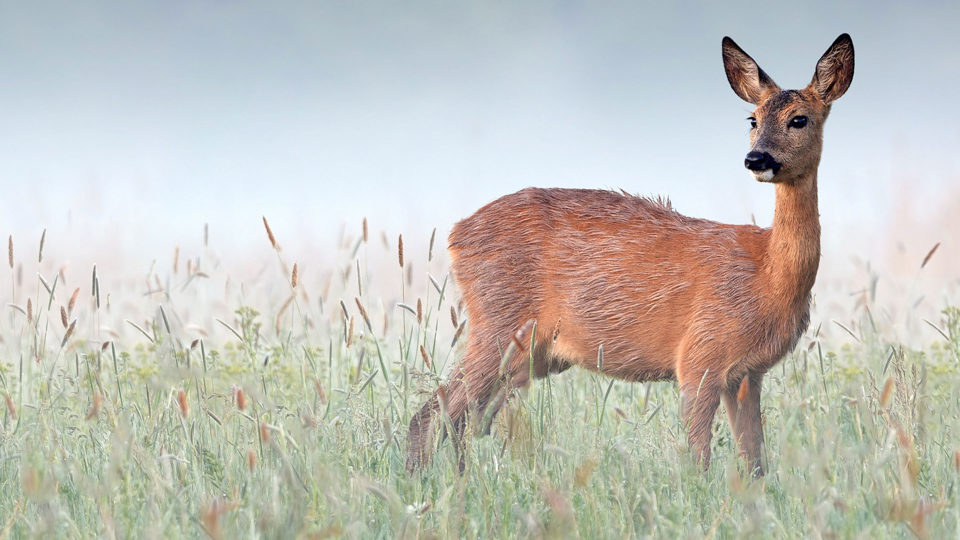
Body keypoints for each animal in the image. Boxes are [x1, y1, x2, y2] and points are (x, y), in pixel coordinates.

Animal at [404, 33, 856, 474]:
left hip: (528, 355)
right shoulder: (699, 354)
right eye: (753, 119)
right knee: (432, 415)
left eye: (799, 119)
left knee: (460, 422)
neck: (768, 274)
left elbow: (756, 463)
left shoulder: (747, 374)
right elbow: (698, 458)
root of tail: (455, 235)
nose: (756, 158)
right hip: (499, 324)